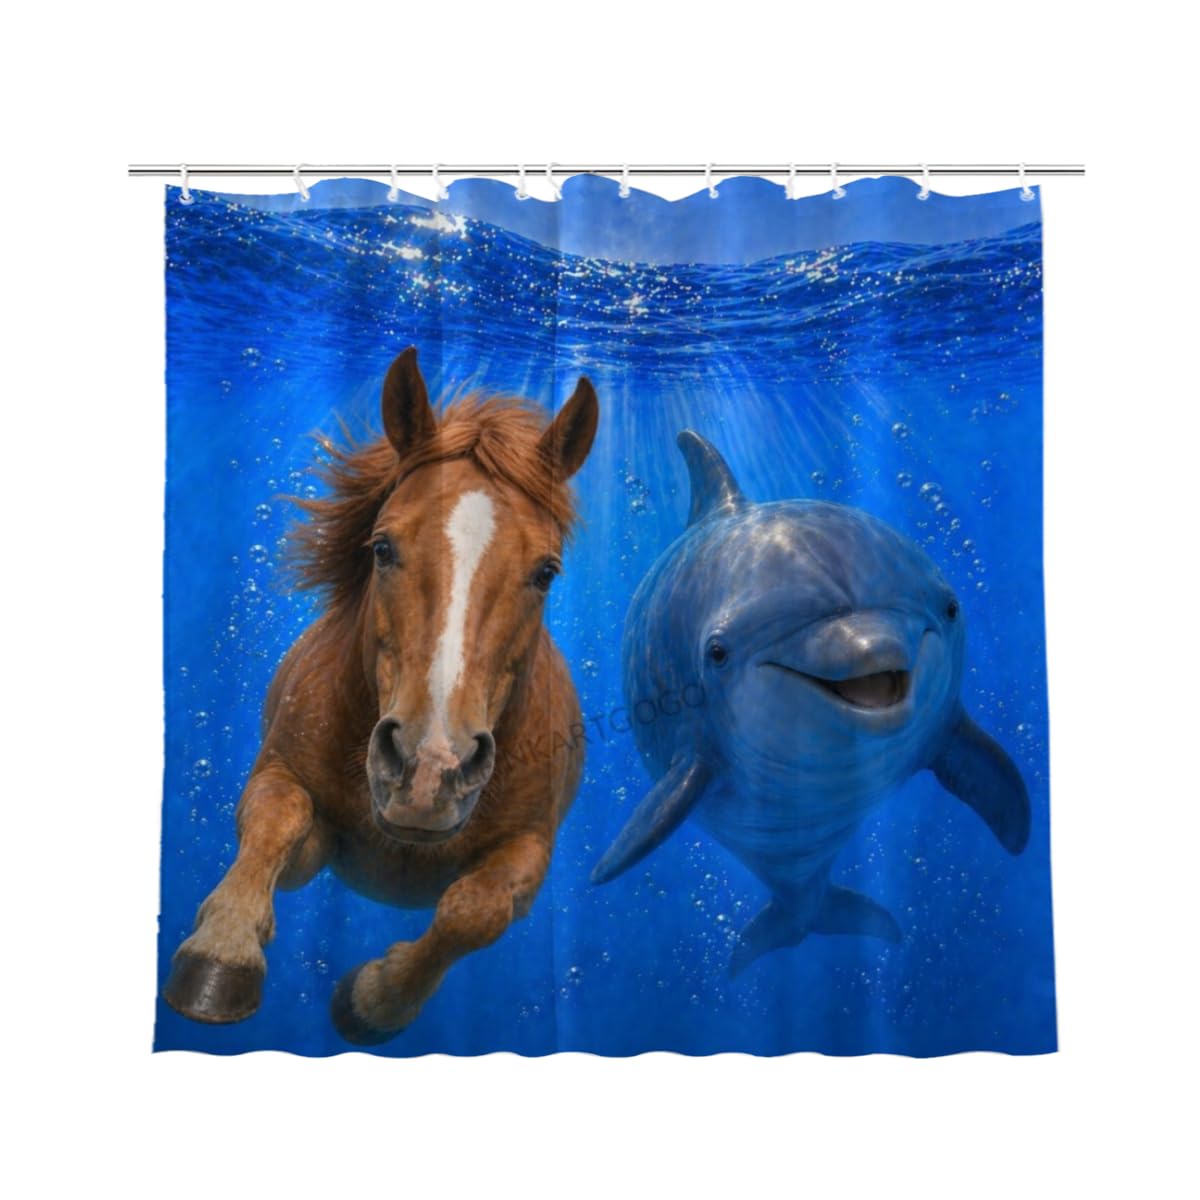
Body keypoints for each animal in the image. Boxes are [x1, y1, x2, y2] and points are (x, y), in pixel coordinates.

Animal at [163, 347, 599, 1045]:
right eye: (383, 546)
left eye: (546, 572)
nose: (430, 770)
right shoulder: (297, 808)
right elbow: (275, 822)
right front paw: (221, 953)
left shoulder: (530, 853)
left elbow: (473, 911)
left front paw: (373, 1000)